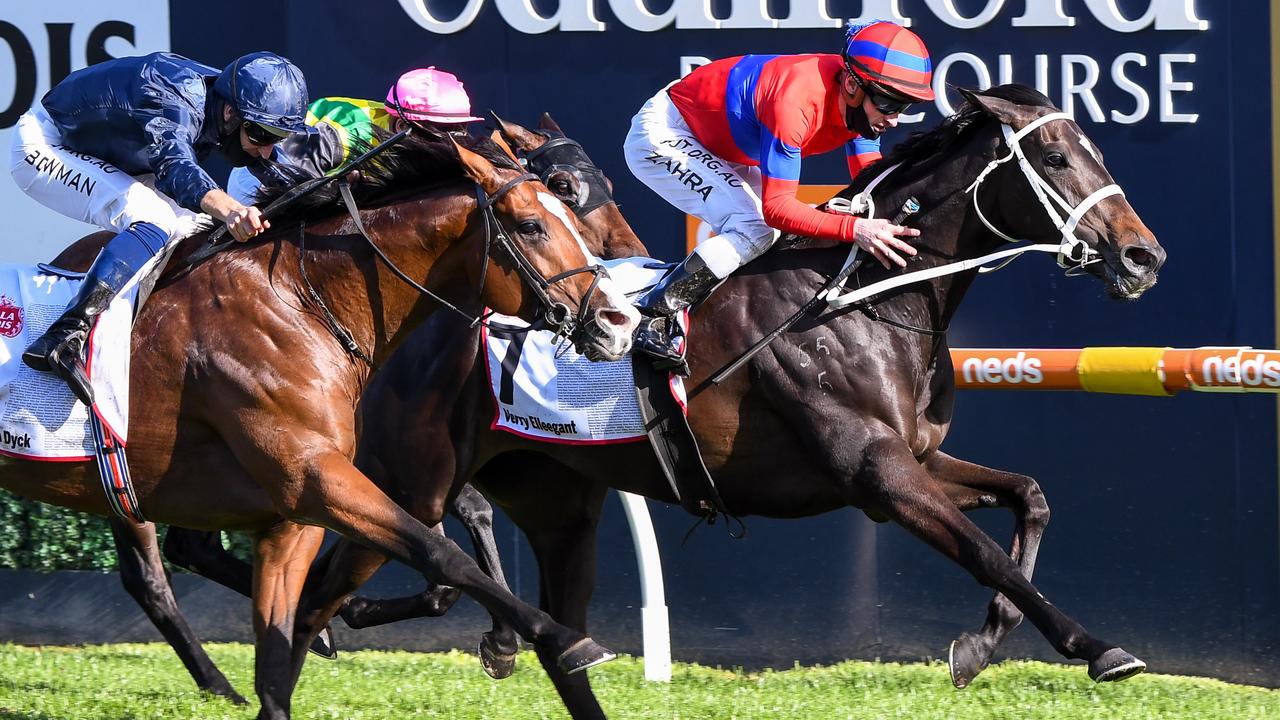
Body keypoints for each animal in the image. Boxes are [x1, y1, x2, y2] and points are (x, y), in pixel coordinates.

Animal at [0, 131, 640, 712]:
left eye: (568, 205)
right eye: (534, 224)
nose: (620, 320)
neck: (302, 302)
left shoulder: (294, 517)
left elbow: (281, 655)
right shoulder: (316, 479)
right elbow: (440, 553)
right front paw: (561, 638)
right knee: (152, 580)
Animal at [272, 87, 1172, 712]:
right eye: (1054, 158)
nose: (1143, 255)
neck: (859, 297)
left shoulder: (916, 456)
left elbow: (1029, 499)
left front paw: (982, 645)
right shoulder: (876, 474)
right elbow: (985, 550)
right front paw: (1096, 646)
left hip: (554, 497)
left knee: (547, 632)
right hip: (408, 483)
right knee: (322, 594)